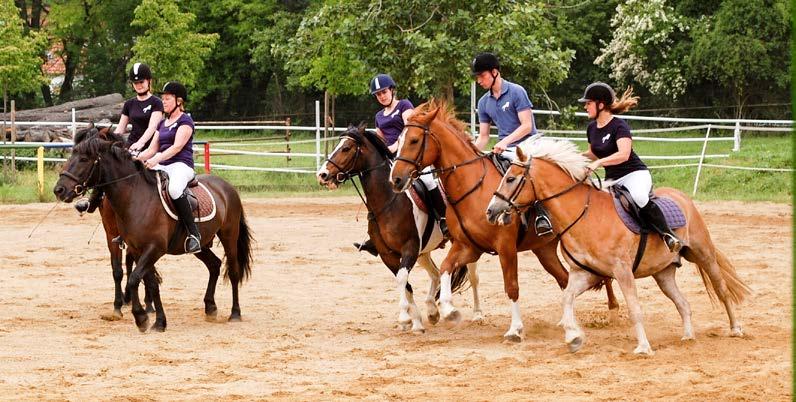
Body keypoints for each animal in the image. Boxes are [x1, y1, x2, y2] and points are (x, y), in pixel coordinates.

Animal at [53, 130, 252, 332]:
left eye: (84, 159)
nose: (59, 190)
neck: (136, 197)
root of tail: (226, 186)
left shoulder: (154, 249)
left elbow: (134, 278)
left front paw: (141, 317)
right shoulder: (137, 249)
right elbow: (149, 282)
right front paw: (158, 321)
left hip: (229, 236)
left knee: (233, 271)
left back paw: (235, 313)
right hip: (201, 245)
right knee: (214, 265)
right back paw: (210, 307)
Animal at [316, 123, 478, 332]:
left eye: (346, 148)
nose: (322, 174)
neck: (388, 203)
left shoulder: (409, 248)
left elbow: (402, 279)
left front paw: (404, 318)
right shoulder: (388, 254)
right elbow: (405, 284)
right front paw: (416, 321)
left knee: (473, 277)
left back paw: (477, 314)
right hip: (424, 252)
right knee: (435, 274)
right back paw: (432, 311)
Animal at [388, 99, 620, 342]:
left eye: (414, 140)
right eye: (400, 141)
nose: (396, 179)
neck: (472, 188)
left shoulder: (505, 247)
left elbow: (512, 287)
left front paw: (515, 329)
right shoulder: (468, 246)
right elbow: (445, 268)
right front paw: (448, 310)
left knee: (602, 276)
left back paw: (613, 311)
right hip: (545, 250)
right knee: (565, 280)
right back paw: (566, 323)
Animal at [486, 139, 752, 354]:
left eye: (510, 178)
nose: (490, 211)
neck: (582, 214)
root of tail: (683, 197)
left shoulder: (622, 272)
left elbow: (634, 308)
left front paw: (643, 347)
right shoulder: (585, 274)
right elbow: (567, 299)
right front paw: (573, 337)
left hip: (703, 254)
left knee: (721, 289)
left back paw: (735, 328)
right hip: (663, 273)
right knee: (683, 304)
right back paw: (688, 336)